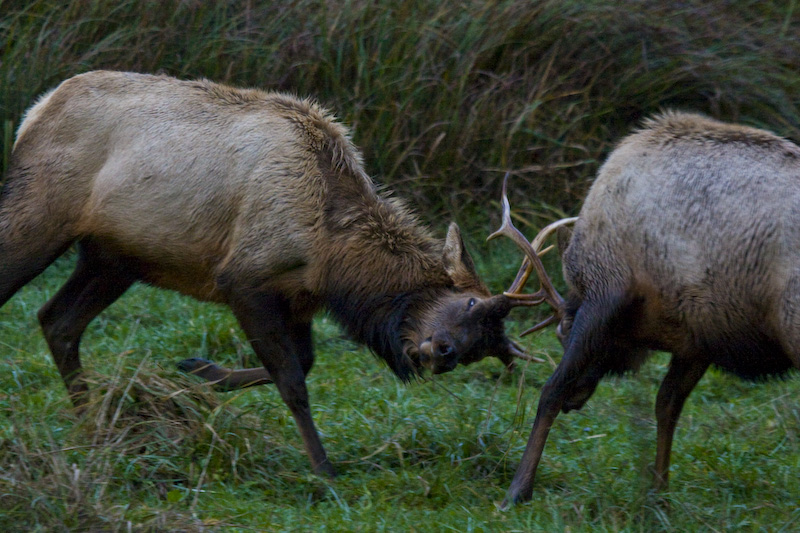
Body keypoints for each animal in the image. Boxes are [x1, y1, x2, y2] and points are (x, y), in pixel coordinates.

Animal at [0, 71, 528, 478]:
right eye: (470, 304)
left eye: (481, 348)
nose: (442, 354)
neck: (331, 254)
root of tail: (34, 113)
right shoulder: (244, 278)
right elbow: (292, 379)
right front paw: (324, 469)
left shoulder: (298, 299)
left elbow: (304, 362)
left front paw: (202, 372)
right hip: (40, 214)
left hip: (112, 257)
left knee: (58, 320)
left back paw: (91, 427)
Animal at [494, 113, 800, 508]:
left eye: (563, 334)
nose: (578, 399)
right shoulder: (697, 336)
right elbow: (666, 405)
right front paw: (658, 493)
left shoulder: (605, 293)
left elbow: (549, 391)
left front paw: (517, 491)